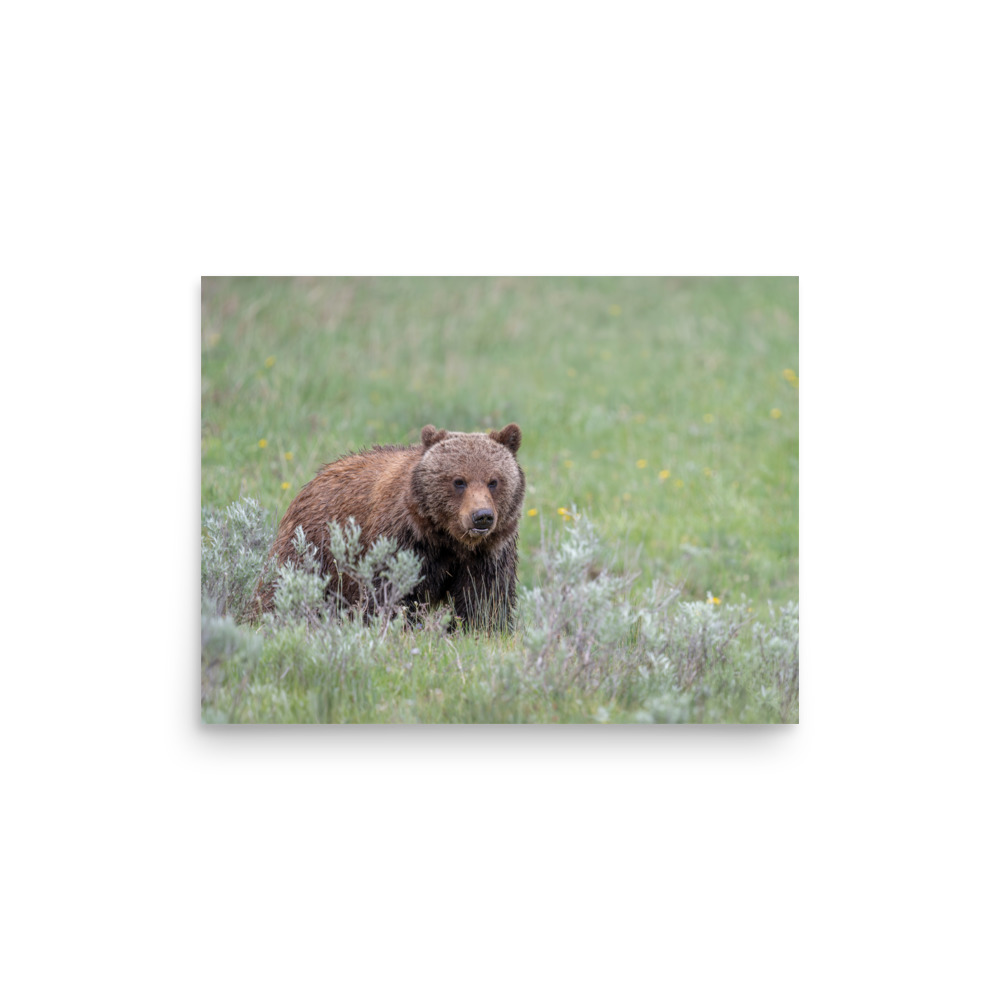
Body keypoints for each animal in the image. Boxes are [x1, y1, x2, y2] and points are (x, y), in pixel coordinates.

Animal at [252, 423, 525, 630]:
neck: (447, 538)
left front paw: (482, 629)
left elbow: (484, 599)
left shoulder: (488, 553)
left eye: (493, 481)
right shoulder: (402, 541)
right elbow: (390, 592)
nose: (482, 516)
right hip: (313, 545)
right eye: (459, 481)